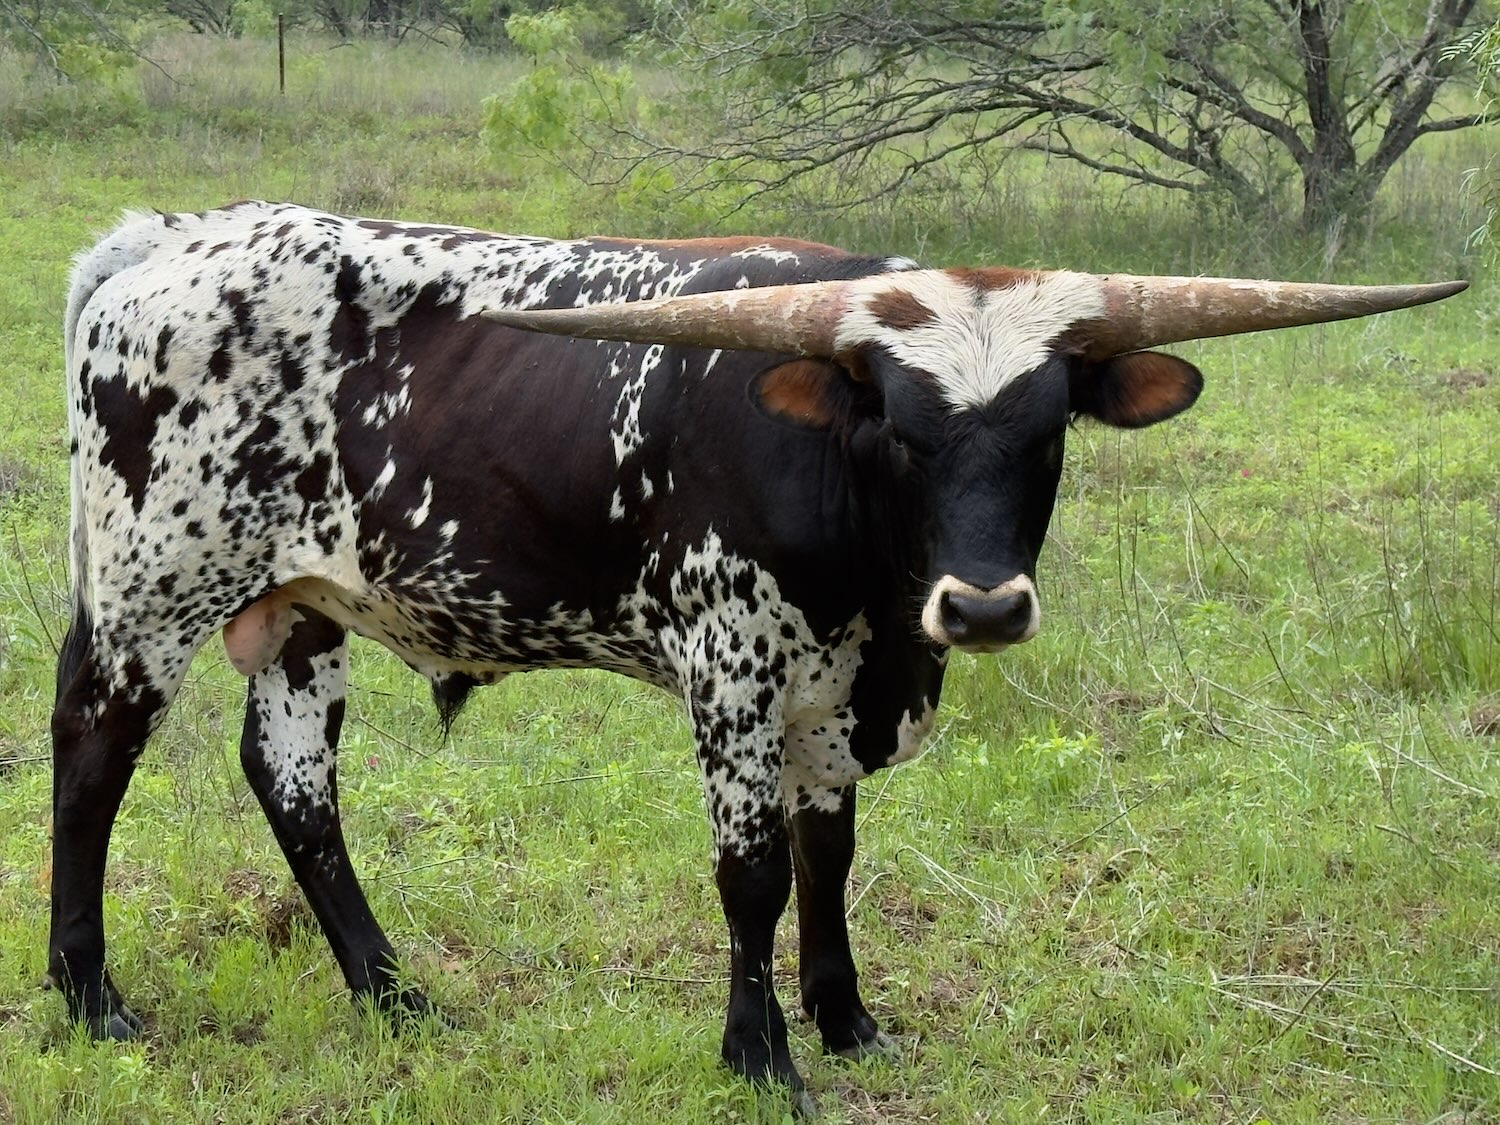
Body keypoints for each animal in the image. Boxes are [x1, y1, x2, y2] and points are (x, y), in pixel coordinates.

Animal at [48, 201, 1463, 1111]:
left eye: (1052, 426)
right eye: (895, 427)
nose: (983, 610)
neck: (878, 600)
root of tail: (167, 242)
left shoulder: (836, 700)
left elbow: (829, 856)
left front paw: (845, 1020)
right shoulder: (732, 675)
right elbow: (753, 875)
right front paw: (762, 1055)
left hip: (301, 607)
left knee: (293, 785)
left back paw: (393, 995)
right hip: (152, 587)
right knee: (90, 757)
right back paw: (91, 999)